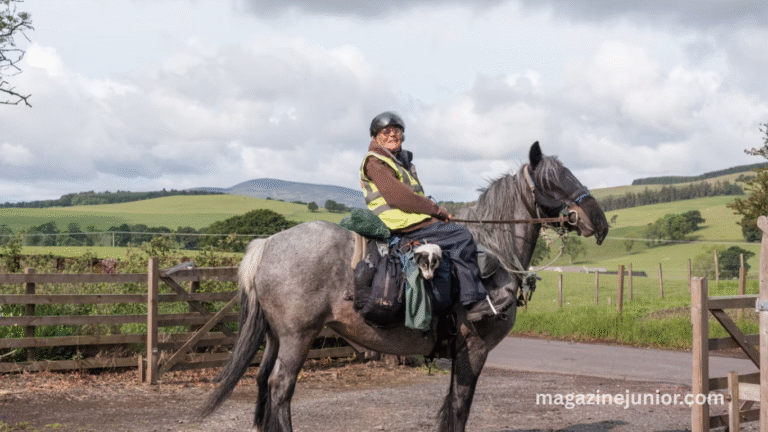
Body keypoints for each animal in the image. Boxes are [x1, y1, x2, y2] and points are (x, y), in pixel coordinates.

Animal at [200, 141, 609, 432]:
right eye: (553, 181)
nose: (600, 222)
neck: (493, 248)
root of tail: (267, 243)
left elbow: (451, 405)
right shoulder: (475, 348)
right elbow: (459, 406)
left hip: (275, 336)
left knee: (263, 384)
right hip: (298, 337)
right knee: (280, 389)